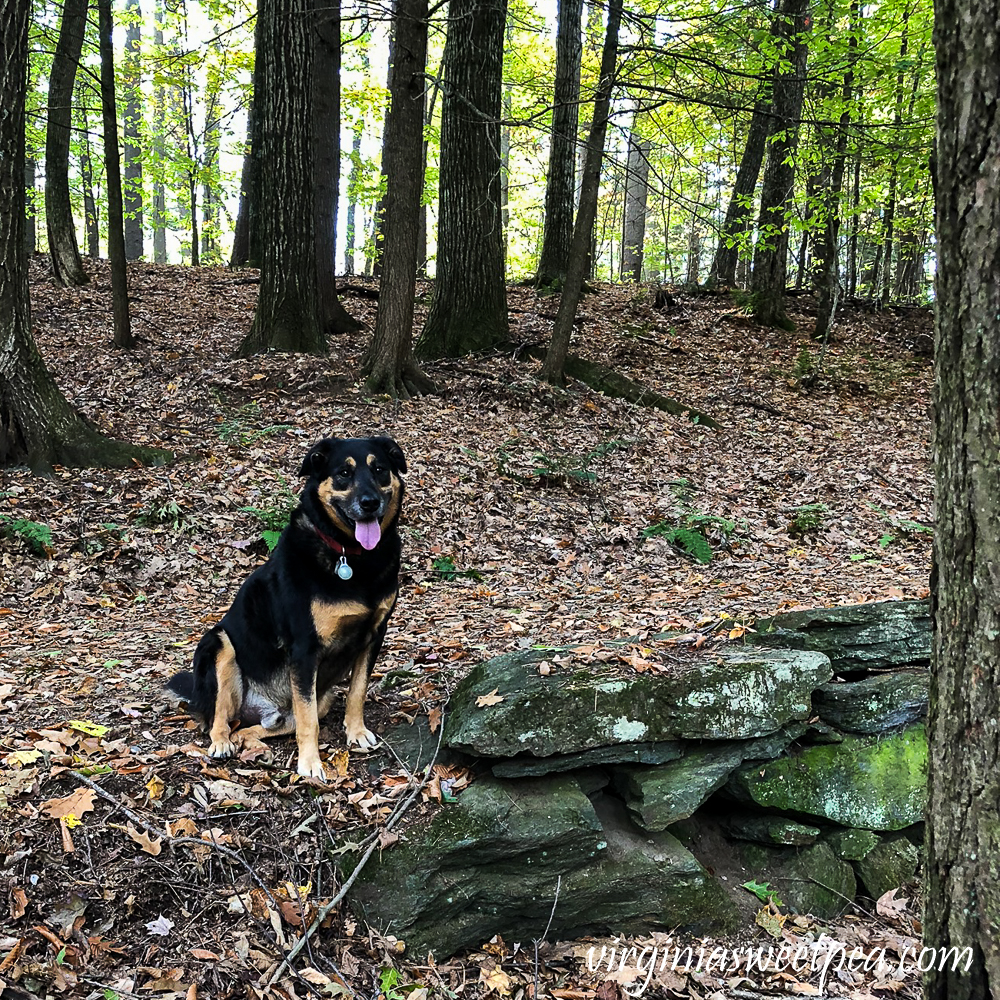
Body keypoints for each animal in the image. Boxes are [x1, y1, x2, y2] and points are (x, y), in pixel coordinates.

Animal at [168, 434, 406, 776]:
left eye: (380, 469)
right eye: (344, 473)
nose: (370, 503)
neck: (352, 557)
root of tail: (262, 708)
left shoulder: (374, 635)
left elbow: (357, 691)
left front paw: (357, 732)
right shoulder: (305, 650)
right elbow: (308, 722)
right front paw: (310, 764)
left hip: (321, 697)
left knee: (262, 726)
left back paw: (248, 740)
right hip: (219, 644)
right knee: (219, 716)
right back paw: (222, 742)